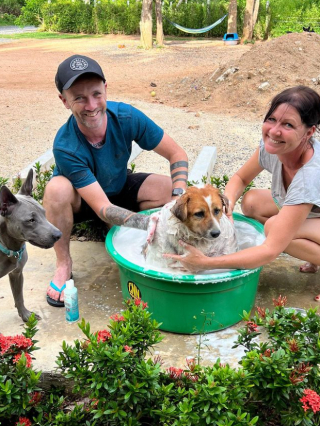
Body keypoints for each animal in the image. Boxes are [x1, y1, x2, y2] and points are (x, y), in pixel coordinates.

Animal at [0, 168, 61, 322]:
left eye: (44, 213)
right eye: (31, 220)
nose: (59, 235)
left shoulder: (17, 274)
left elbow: (19, 297)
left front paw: (26, 315)